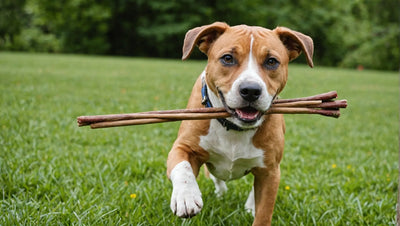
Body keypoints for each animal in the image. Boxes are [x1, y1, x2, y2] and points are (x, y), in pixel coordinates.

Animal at [167, 21, 314, 226]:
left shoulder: (270, 172)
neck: (233, 126)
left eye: (271, 61)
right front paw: (186, 197)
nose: (251, 90)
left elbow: (264, 212)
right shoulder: (184, 147)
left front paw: (255, 210)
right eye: (228, 58)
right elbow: (183, 166)